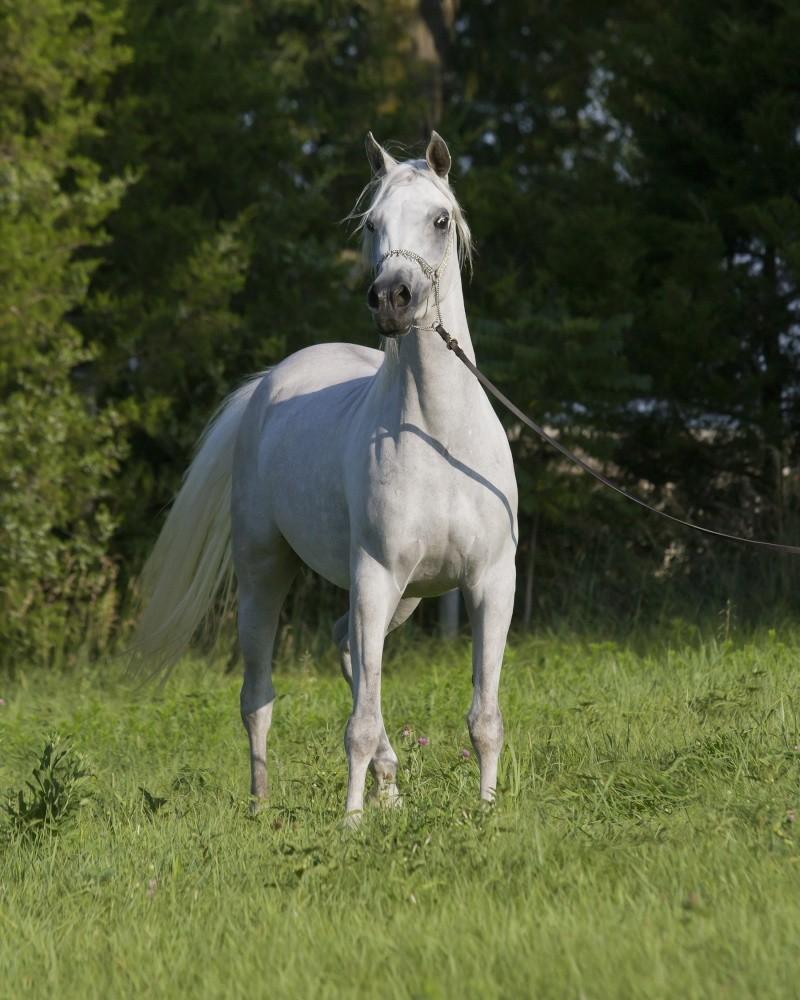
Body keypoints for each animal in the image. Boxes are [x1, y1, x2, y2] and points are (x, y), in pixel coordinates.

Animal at [137, 133, 520, 820]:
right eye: (371, 224)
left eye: (440, 220)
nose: (392, 299)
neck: (440, 438)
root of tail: (267, 386)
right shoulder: (374, 577)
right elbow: (357, 725)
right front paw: (350, 821)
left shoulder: (490, 583)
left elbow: (484, 717)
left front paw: (486, 810)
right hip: (268, 572)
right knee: (259, 697)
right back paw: (264, 806)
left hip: (403, 598)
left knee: (347, 648)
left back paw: (391, 786)